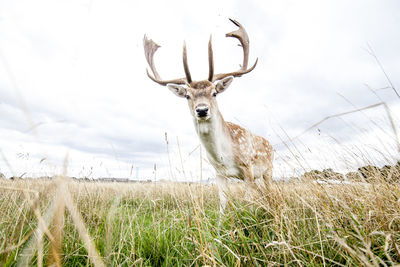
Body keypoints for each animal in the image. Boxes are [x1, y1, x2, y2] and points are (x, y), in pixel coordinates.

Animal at [142, 18, 274, 216]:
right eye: (187, 96)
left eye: (214, 93)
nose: (202, 110)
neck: (224, 155)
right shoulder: (219, 172)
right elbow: (223, 203)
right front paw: (221, 224)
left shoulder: (248, 167)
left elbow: (248, 202)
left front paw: (251, 218)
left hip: (268, 169)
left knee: (269, 191)